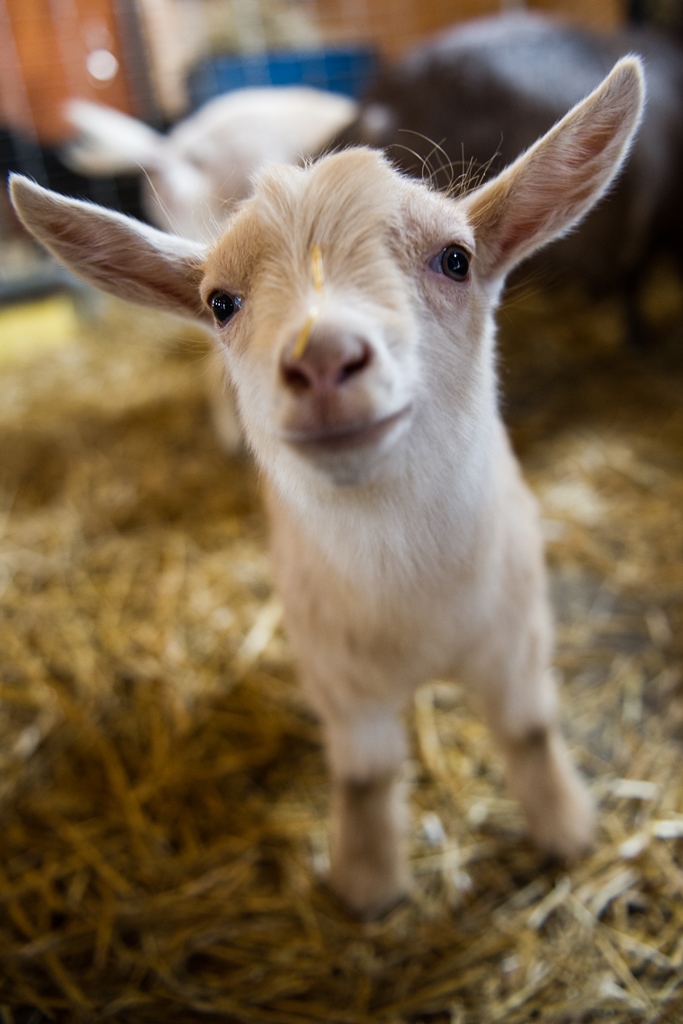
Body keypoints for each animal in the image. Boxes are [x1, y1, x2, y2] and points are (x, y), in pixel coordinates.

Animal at [10, 58, 647, 921]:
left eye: (455, 258)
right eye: (220, 302)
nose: (321, 358)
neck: (415, 606)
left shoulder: (518, 638)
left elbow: (528, 732)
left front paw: (566, 832)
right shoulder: (338, 681)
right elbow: (365, 777)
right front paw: (367, 886)